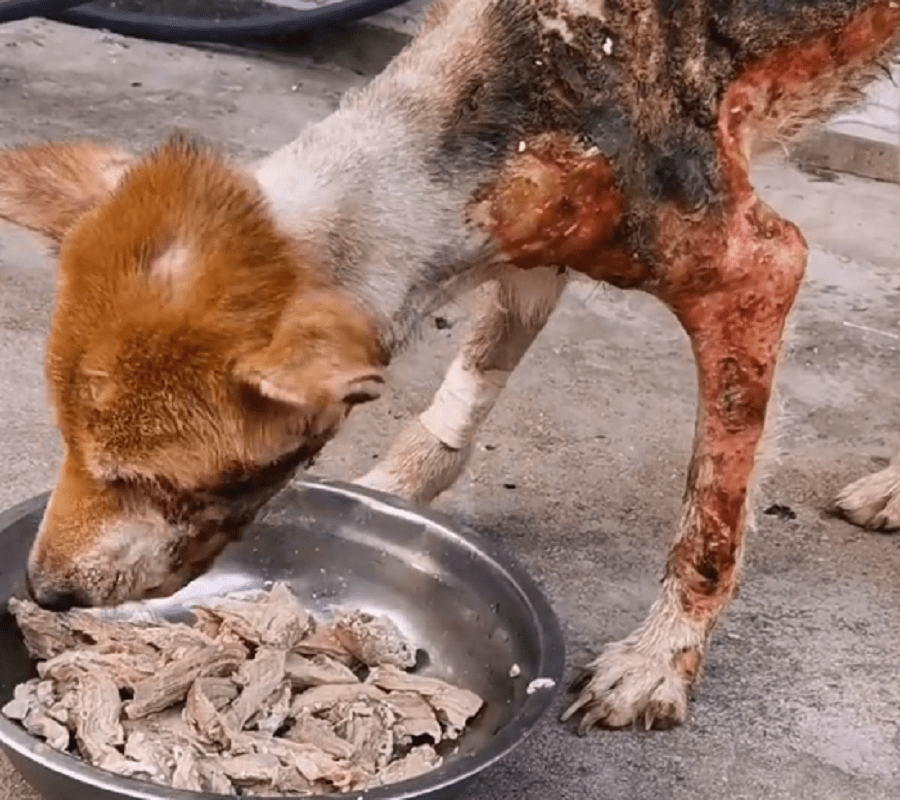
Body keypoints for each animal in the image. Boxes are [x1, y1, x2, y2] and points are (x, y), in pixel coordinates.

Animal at [1, 0, 900, 732]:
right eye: (68, 443)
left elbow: (710, 520)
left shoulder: (755, 273)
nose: (43, 593)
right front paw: (391, 497)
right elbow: (462, 397)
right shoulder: (528, 242)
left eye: (146, 478)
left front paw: (657, 662)